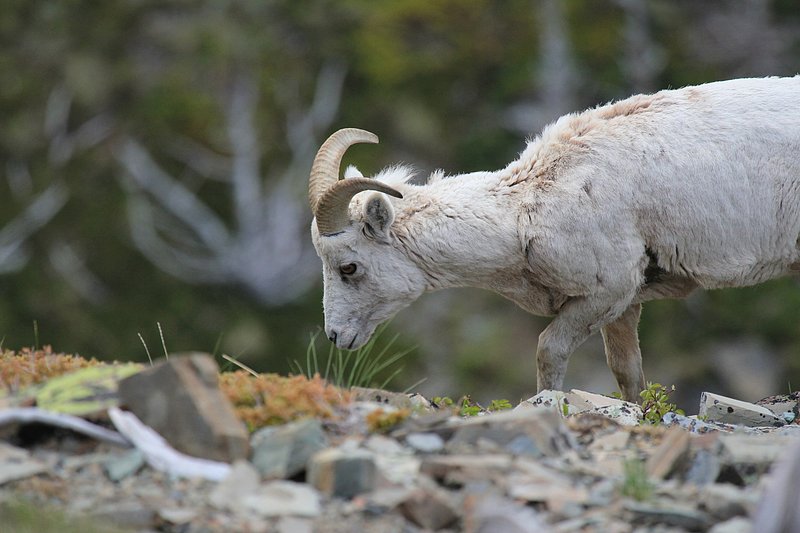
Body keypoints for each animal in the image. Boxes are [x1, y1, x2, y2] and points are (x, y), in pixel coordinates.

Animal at [308, 76, 800, 403]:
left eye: (348, 267)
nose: (336, 337)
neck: (525, 210)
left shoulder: (606, 293)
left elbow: (549, 350)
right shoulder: (626, 304)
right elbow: (628, 373)